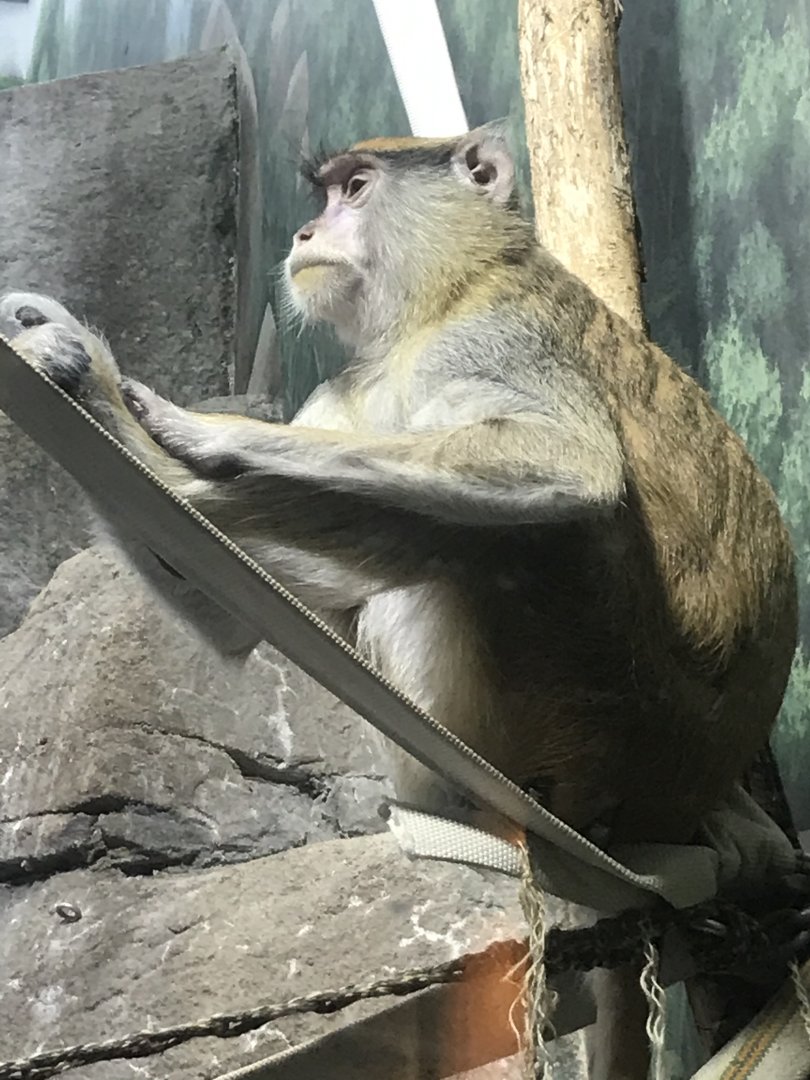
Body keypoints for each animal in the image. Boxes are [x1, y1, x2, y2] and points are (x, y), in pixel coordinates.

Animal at [0, 119, 797, 1077]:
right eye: (325, 194)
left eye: (356, 187)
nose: (305, 233)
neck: (446, 289)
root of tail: (675, 804)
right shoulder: (352, 384)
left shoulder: (492, 332)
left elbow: (566, 463)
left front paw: (199, 432)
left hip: (599, 702)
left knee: (503, 539)